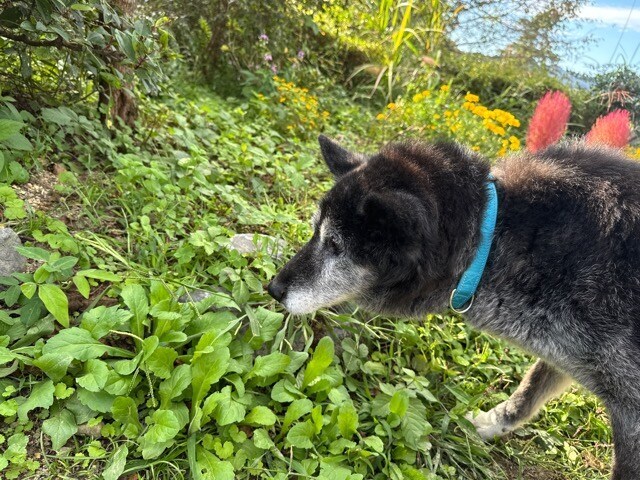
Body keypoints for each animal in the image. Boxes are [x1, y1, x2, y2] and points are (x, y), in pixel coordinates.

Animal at [267, 135, 640, 479]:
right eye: (315, 231)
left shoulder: (630, 415)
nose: (272, 289)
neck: (490, 240)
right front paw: (484, 426)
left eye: (335, 245)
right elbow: (524, 397)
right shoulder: (565, 360)